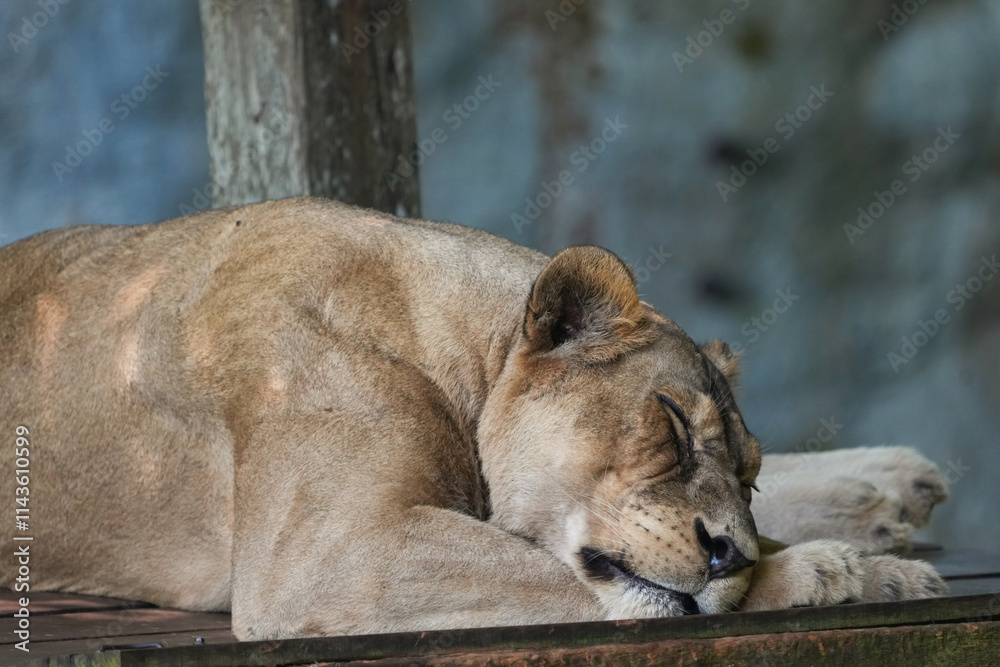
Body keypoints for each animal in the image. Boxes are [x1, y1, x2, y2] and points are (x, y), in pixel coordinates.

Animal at [0, 197, 948, 640]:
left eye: (744, 478)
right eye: (673, 425)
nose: (728, 549)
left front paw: (877, 559)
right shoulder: (330, 556)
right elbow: (570, 581)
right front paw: (828, 572)